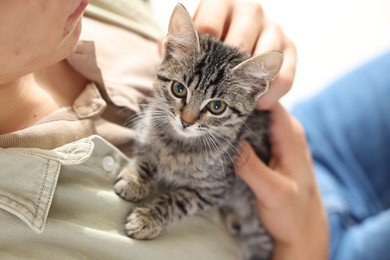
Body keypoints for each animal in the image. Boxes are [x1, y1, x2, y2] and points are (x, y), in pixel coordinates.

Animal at [114, 4, 282, 260]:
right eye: (179, 89)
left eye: (217, 107)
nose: (186, 121)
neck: (180, 144)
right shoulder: (146, 127)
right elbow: (146, 155)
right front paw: (135, 180)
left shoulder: (214, 190)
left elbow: (178, 200)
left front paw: (147, 218)